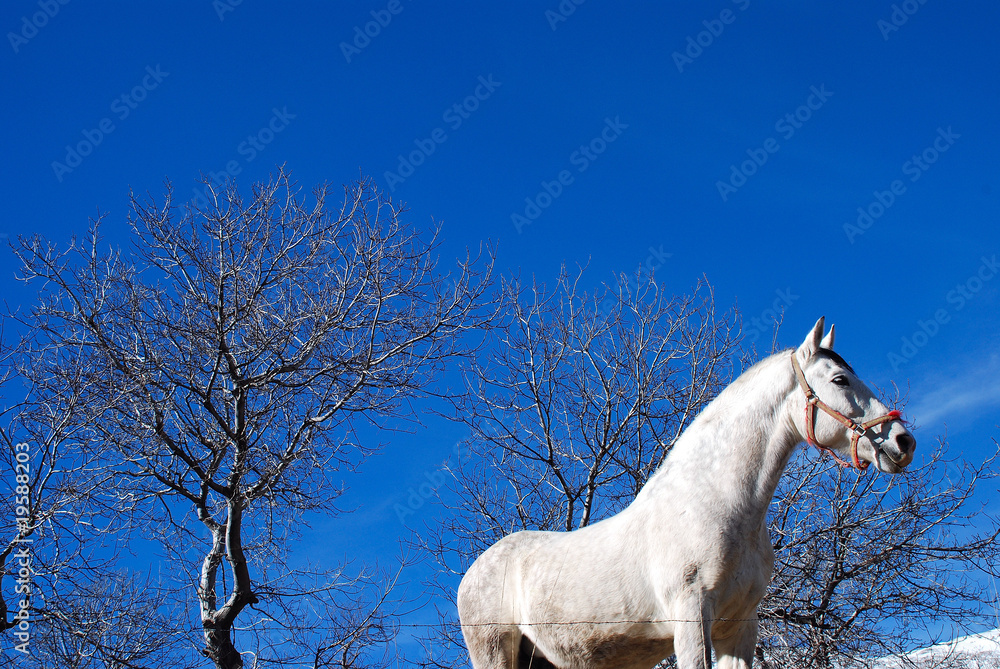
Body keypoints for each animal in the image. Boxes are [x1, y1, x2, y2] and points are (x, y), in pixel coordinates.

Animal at [457, 318, 916, 669]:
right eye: (839, 379)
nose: (903, 441)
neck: (717, 500)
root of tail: (473, 572)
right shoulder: (691, 618)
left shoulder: (739, 627)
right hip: (496, 654)